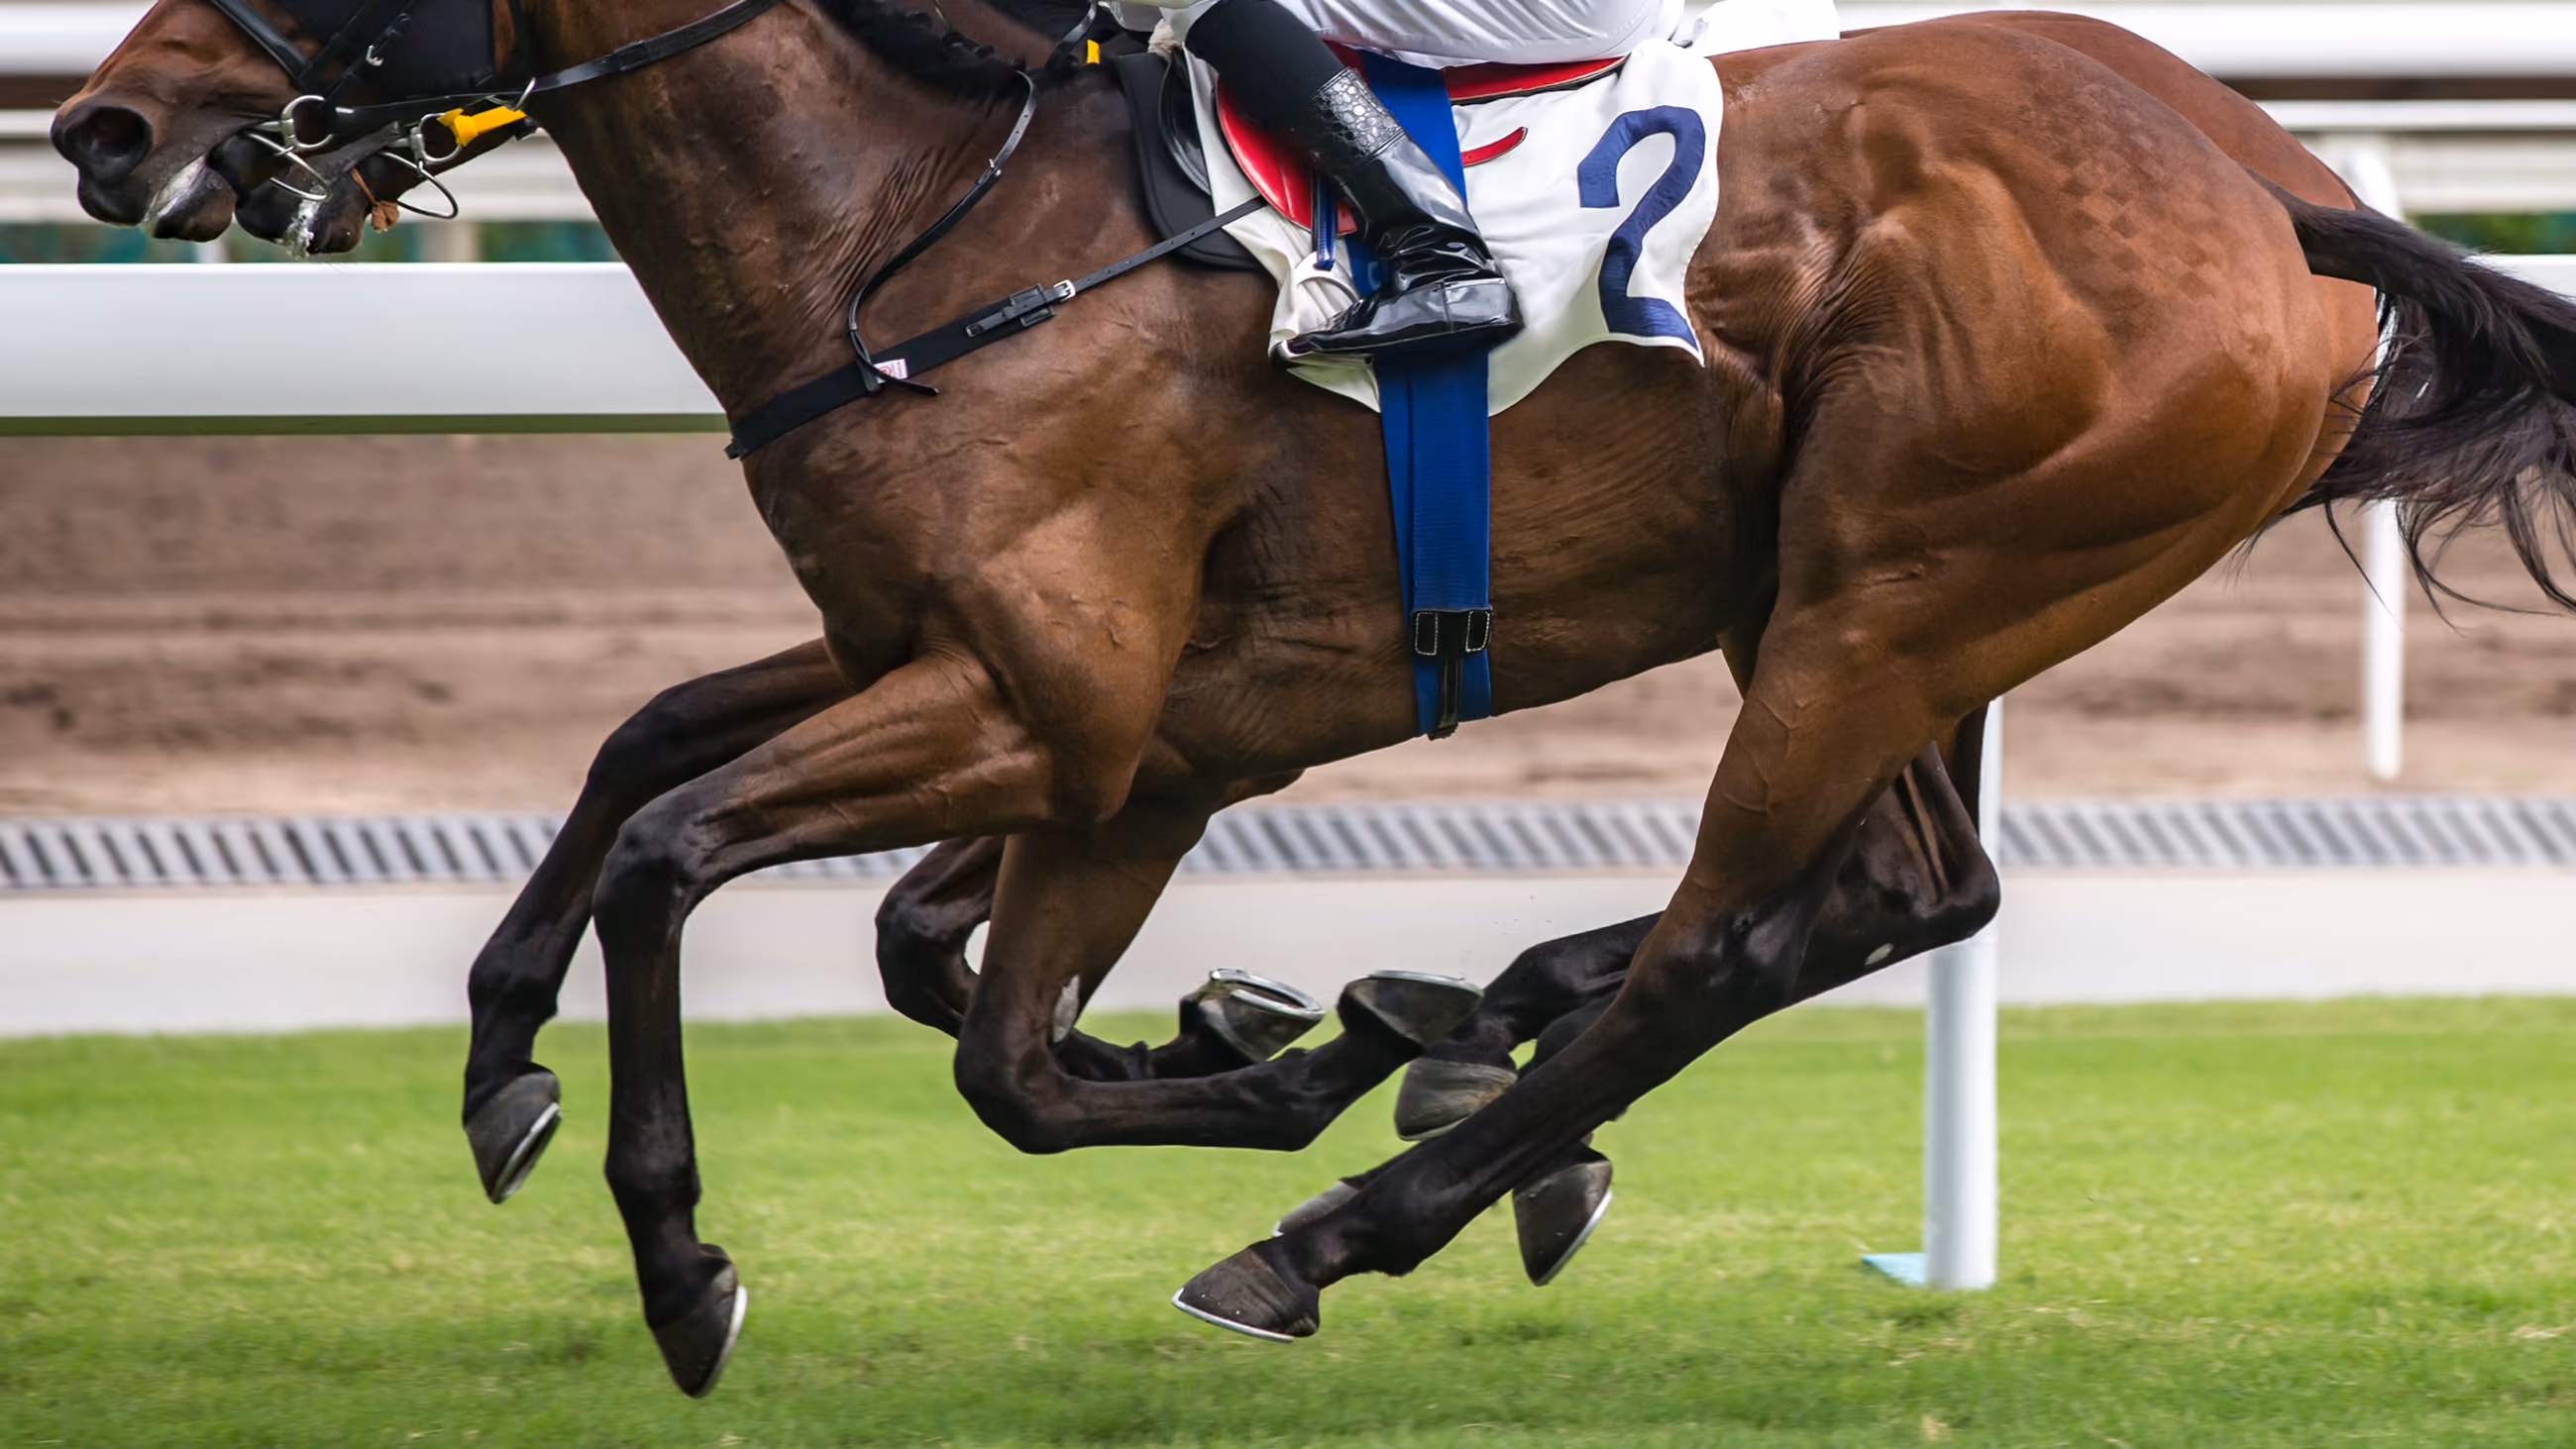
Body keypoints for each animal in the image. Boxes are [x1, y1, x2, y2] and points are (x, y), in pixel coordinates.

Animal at [57, 0, 2576, 1395]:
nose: (100, 129)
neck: (939, 222)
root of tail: (2269, 184)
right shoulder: (1017, 694)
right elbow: (675, 774)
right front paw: (506, 1055)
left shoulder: (1065, 715)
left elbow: (711, 867)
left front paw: (682, 1257)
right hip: (1873, 597)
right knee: (1894, 893)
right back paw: (1460, 1054)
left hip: (1896, 588)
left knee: (1736, 937)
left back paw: (1354, 1208)